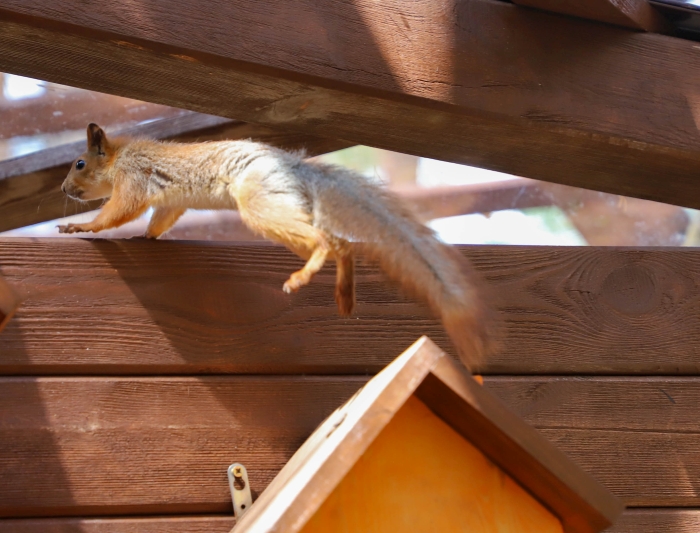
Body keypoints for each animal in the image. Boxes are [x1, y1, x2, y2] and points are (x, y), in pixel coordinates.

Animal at [58, 123, 492, 366]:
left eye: (79, 163)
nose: (63, 189)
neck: (118, 157)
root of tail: (295, 166)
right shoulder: (171, 202)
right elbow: (160, 218)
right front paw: (146, 236)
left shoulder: (134, 177)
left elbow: (117, 211)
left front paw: (82, 226)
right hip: (283, 210)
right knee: (340, 244)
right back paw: (343, 291)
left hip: (259, 203)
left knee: (326, 240)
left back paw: (305, 277)